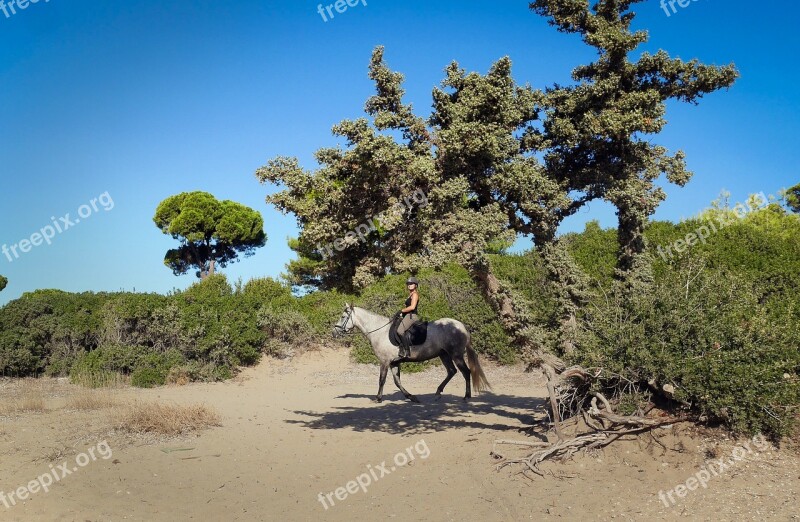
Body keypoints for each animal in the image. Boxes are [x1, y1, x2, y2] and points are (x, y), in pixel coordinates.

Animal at [330, 300, 490, 402]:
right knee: (452, 371)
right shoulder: (394, 362)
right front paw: (411, 397)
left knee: (466, 372)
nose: (334, 333)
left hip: (456, 355)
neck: (380, 331)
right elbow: (397, 381)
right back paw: (438, 392)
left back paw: (466, 396)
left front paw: (378, 398)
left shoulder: (384, 361)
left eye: (343, 317)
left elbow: (382, 380)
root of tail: (461, 326)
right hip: (443, 354)